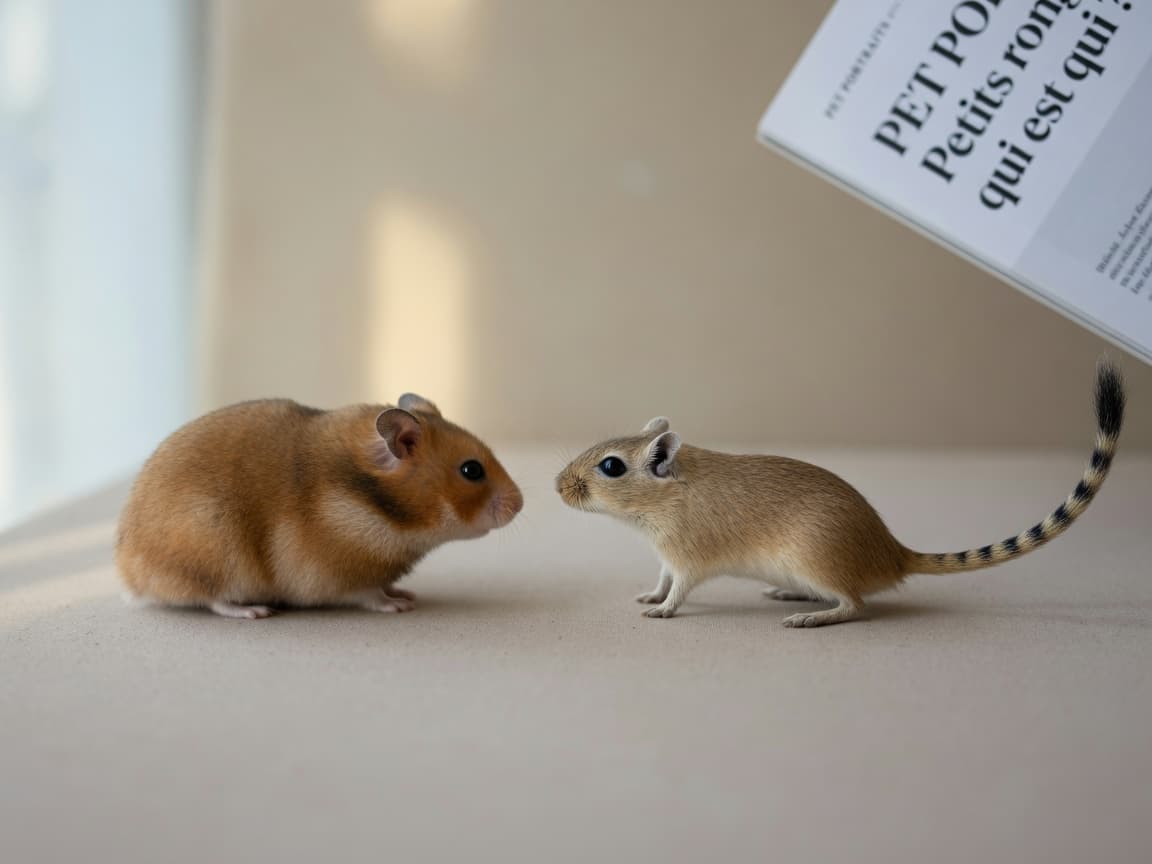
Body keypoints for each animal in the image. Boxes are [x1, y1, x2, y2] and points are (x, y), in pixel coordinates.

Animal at [117, 393, 522, 618]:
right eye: (471, 470)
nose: (520, 504)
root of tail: (128, 571)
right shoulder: (343, 574)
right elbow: (369, 594)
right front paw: (399, 606)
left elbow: (385, 586)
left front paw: (405, 594)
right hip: (214, 551)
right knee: (213, 600)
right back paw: (254, 611)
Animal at [556, 362, 1125, 628]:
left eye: (611, 467)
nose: (557, 486)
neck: (666, 497)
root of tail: (895, 554)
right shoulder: (665, 557)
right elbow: (660, 580)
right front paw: (648, 597)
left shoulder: (688, 559)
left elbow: (679, 591)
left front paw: (662, 612)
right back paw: (792, 596)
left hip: (815, 562)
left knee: (855, 606)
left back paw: (809, 616)